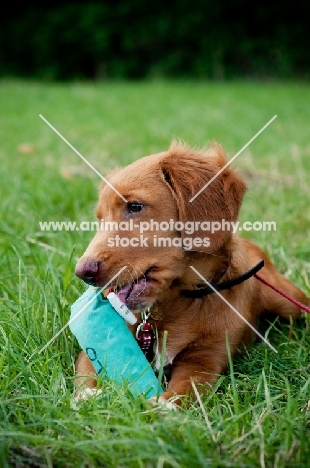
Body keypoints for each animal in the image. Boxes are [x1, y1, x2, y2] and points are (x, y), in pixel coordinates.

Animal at [73, 140, 308, 406]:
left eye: (134, 207)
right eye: (100, 219)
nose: (82, 272)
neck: (179, 301)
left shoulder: (204, 361)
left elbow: (183, 390)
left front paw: (160, 407)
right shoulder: (90, 352)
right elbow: (88, 370)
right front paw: (87, 399)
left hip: (289, 302)